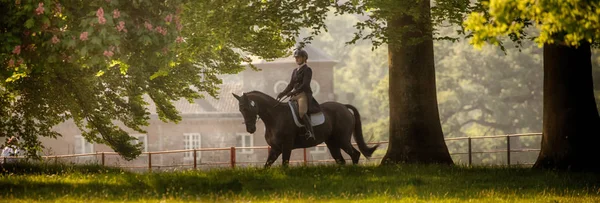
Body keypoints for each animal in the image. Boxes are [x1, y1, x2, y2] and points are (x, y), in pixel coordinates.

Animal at [232, 91, 378, 167]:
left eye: (246, 108)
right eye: (240, 109)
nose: (250, 129)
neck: (275, 117)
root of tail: (344, 106)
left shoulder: (286, 146)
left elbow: (285, 164)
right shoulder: (275, 149)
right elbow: (266, 166)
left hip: (342, 139)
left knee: (355, 154)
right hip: (332, 143)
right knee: (340, 160)